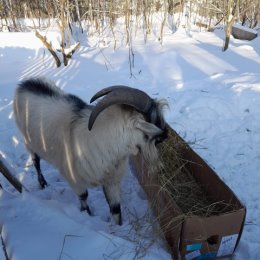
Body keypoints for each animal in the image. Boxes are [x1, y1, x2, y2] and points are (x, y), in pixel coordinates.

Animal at [13, 76, 168, 223]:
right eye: (153, 121)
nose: (165, 135)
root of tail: (23, 85)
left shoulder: (111, 181)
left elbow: (116, 210)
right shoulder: (74, 179)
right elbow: (84, 197)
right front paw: (87, 216)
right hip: (29, 142)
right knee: (36, 161)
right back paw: (43, 183)